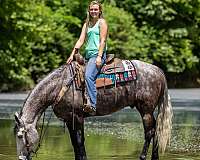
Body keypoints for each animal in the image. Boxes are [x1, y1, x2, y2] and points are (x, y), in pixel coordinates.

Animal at [14, 60, 173, 160]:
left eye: (20, 136)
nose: (21, 158)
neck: (60, 85)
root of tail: (157, 70)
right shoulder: (69, 119)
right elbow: (74, 142)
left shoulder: (77, 117)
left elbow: (79, 141)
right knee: (156, 131)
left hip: (146, 110)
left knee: (149, 132)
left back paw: (143, 156)